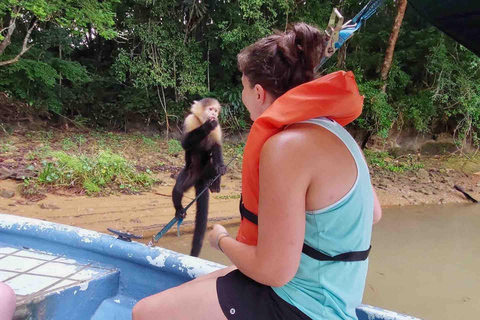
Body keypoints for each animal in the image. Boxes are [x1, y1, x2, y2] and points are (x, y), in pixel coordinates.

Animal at [172, 98, 226, 258]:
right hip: (190, 174)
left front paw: (221, 166)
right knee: (178, 189)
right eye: (210, 109)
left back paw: (216, 182)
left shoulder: (218, 128)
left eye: (215, 110)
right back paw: (179, 210)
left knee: (212, 161)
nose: (214, 114)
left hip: (208, 171)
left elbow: (216, 146)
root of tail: (201, 177)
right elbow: (185, 143)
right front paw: (207, 126)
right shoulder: (190, 120)